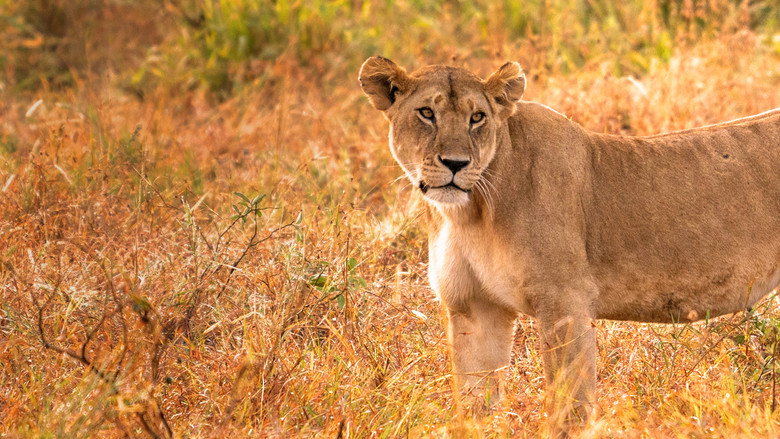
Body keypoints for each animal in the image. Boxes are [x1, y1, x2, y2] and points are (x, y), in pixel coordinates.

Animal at [359, 56, 780, 424]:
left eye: (477, 117)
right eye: (426, 114)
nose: (456, 164)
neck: (469, 213)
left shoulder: (566, 302)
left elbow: (568, 407)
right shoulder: (474, 307)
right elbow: (475, 404)